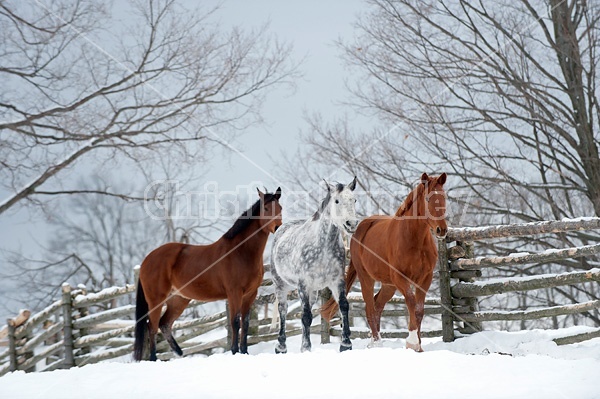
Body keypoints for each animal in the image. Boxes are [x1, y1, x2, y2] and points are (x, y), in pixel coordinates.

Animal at [133, 188, 282, 362]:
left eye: (280, 208)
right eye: (266, 208)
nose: (278, 227)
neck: (240, 252)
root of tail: (146, 260)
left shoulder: (250, 294)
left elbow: (245, 323)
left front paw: (244, 352)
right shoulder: (234, 293)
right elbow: (235, 322)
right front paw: (234, 351)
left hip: (178, 299)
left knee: (165, 324)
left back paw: (179, 353)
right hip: (156, 299)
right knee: (152, 326)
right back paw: (153, 358)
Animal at [270, 178, 358, 354]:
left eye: (354, 200)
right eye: (336, 201)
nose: (351, 224)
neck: (323, 247)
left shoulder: (337, 281)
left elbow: (343, 306)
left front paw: (346, 344)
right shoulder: (303, 284)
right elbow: (305, 316)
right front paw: (306, 347)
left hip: (313, 292)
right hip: (280, 284)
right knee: (283, 310)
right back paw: (281, 346)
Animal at [324, 173, 446, 352]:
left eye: (444, 197)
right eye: (428, 199)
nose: (442, 230)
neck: (414, 240)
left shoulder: (425, 278)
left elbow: (419, 309)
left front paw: (418, 345)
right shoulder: (400, 278)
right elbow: (411, 303)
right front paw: (412, 341)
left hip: (389, 285)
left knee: (377, 305)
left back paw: (374, 340)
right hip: (367, 278)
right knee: (369, 307)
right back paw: (376, 342)